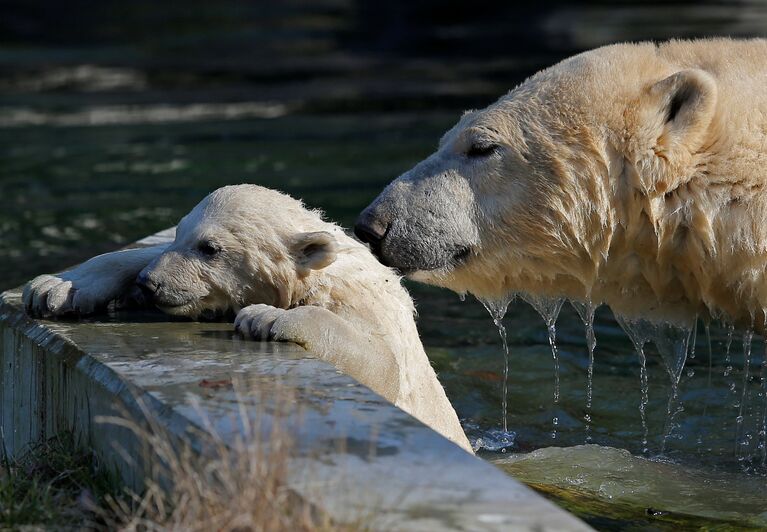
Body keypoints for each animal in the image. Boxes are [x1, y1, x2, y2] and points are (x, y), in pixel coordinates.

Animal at [25, 185, 474, 450]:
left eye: (210, 248)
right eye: (179, 235)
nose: (150, 284)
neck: (316, 272)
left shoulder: (365, 307)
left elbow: (381, 362)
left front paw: (265, 317)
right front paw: (55, 287)